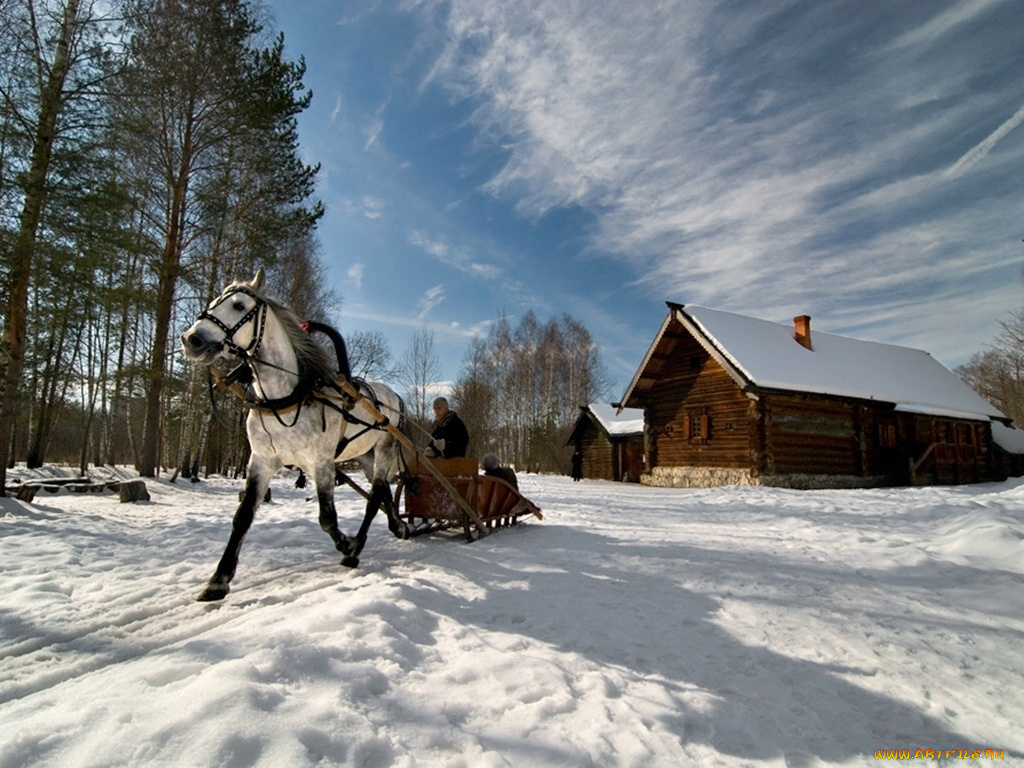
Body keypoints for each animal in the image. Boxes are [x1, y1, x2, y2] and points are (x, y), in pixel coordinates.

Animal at [180, 270, 407, 602]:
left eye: (238, 305)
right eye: (212, 303)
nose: (192, 339)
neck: (285, 398)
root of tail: (395, 398)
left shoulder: (321, 464)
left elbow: (327, 518)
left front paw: (347, 543)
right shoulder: (261, 461)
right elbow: (243, 516)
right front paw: (218, 580)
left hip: (385, 449)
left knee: (375, 495)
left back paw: (358, 546)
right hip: (365, 456)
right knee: (384, 493)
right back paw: (398, 525)